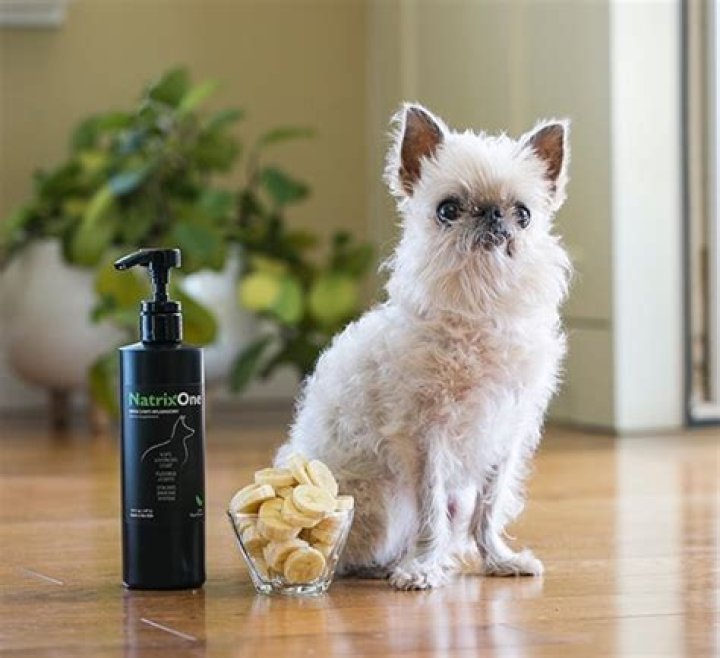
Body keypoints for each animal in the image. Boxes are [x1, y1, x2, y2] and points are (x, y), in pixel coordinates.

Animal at [276, 103, 571, 590]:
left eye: (523, 214)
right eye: (448, 209)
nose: (492, 213)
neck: (478, 308)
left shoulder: (506, 435)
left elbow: (488, 511)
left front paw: (498, 560)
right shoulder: (426, 439)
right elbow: (430, 509)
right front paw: (421, 568)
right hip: (385, 501)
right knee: (362, 552)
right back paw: (394, 564)